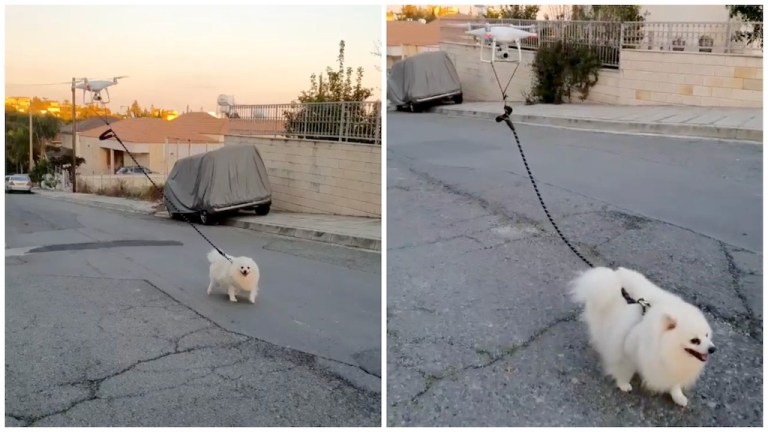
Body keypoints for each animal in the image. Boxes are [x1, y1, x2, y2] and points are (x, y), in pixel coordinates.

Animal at [568, 264, 716, 406]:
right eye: (695, 340)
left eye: (706, 335)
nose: (712, 349)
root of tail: (612, 276)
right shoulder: (627, 352)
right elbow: (625, 370)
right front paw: (623, 384)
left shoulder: (671, 367)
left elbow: (674, 383)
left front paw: (678, 396)